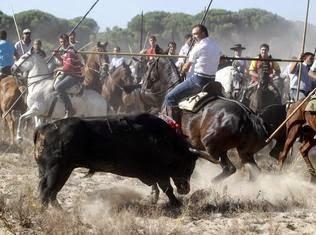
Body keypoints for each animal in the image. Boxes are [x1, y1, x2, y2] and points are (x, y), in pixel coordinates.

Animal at [33, 113, 199, 207]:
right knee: (46, 192)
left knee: (52, 193)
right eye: (189, 165)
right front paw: (176, 204)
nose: (185, 189)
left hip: (57, 171)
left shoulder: (152, 175)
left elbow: (157, 187)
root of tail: (43, 128)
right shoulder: (160, 173)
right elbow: (167, 189)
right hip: (55, 170)